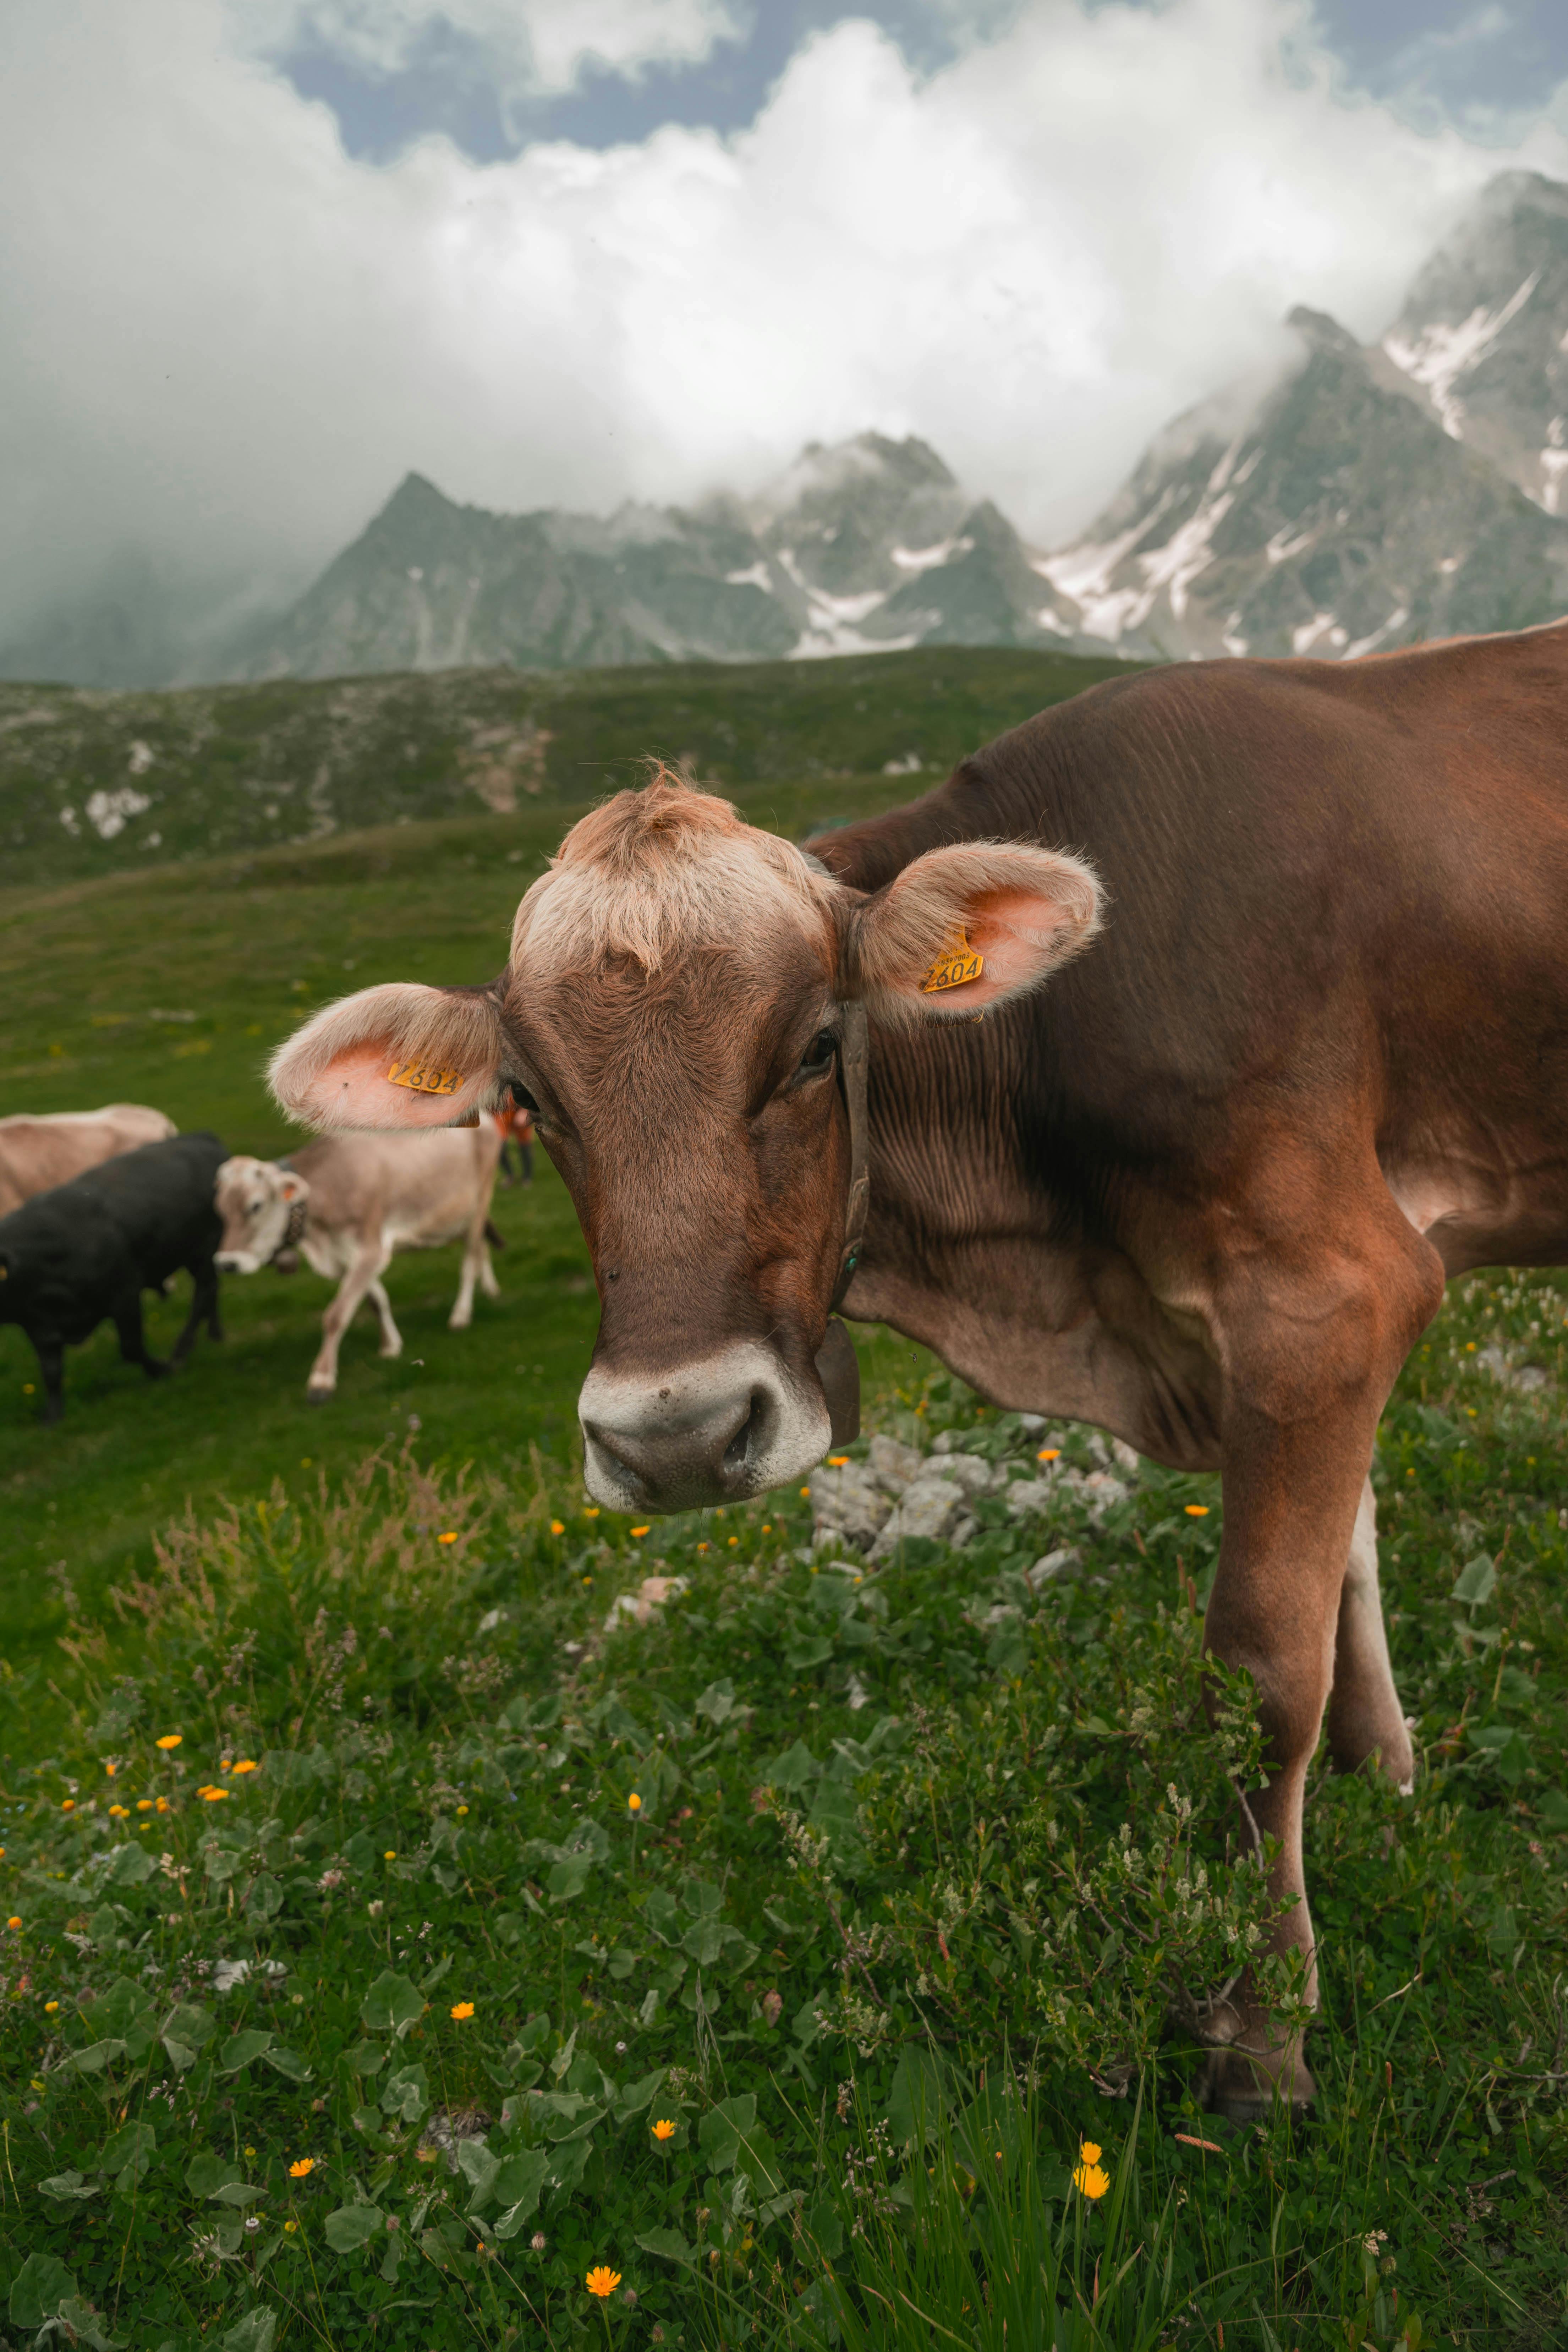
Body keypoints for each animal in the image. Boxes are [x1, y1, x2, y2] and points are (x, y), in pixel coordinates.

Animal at [0, 1134, 228, 1420]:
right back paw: (215, 1335)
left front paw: (162, 1369)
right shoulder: (36, 1323)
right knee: (212, 1290)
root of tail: (203, 1138)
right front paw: (52, 1416)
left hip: (204, 1248)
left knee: (204, 1293)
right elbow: (50, 1370)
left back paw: (182, 1350)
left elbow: (131, 1347)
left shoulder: (125, 1294)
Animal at [215, 1119, 505, 1392]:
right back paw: (490, 1288)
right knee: (481, 1248)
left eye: (255, 1206)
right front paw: (391, 1346)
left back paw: (461, 1315)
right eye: (220, 1209)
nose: (227, 1262)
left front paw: (322, 1379)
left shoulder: (372, 1250)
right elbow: (376, 1300)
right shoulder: (345, 1257)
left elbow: (336, 1315)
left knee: (470, 1260)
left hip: (480, 1202)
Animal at [263, 621, 1568, 2117]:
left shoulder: (1326, 1289)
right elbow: (1343, 1547)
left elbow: (1257, 1664)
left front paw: (1253, 2031)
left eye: (816, 1048)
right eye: (526, 1102)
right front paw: (1377, 1776)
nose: (672, 1436)